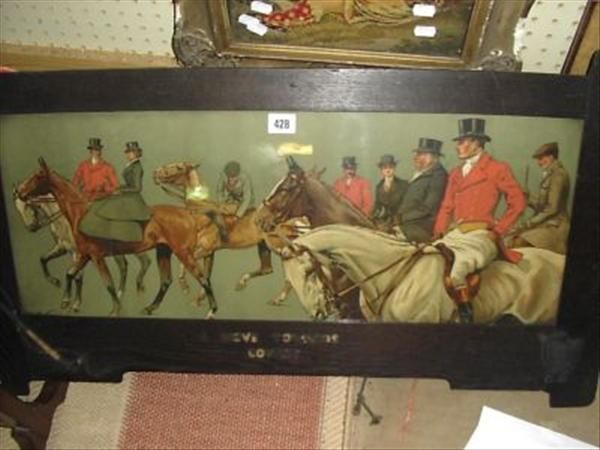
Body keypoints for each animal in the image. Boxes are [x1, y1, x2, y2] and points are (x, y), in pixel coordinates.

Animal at [12, 190, 151, 312]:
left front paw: (71, 302)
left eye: (27, 206)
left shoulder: (79, 254)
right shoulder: (63, 248)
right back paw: (123, 292)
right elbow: (43, 259)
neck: (65, 220)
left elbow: (75, 276)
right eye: (17, 209)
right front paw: (55, 282)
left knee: (144, 261)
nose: (31, 227)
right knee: (125, 265)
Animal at [153, 161, 302, 304]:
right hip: (264, 246)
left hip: (280, 248)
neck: (203, 215)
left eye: (179, 167)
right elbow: (206, 274)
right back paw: (242, 283)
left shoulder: (205, 250)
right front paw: (199, 299)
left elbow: (187, 263)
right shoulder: (209, 253)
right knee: (267, 269)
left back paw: (278, 299)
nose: (156, 173)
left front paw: (185, 287)